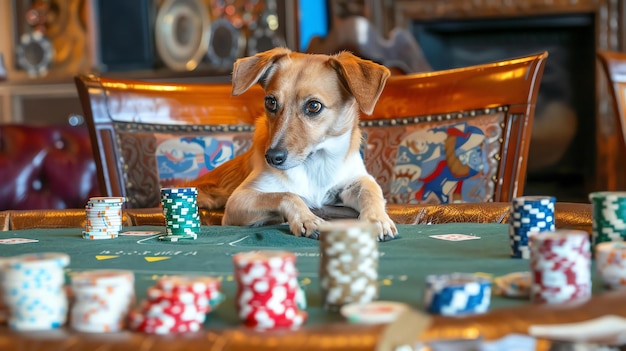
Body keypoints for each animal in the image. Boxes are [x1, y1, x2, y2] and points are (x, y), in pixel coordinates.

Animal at [188, 47, 398, 242]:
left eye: (314, 106)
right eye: (270, 102)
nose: (272, 157)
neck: (315, 164)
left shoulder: (357, 179)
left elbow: (370, 191)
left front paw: (377, 219)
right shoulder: (238, 200)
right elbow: (286, 194)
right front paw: (308, 219)